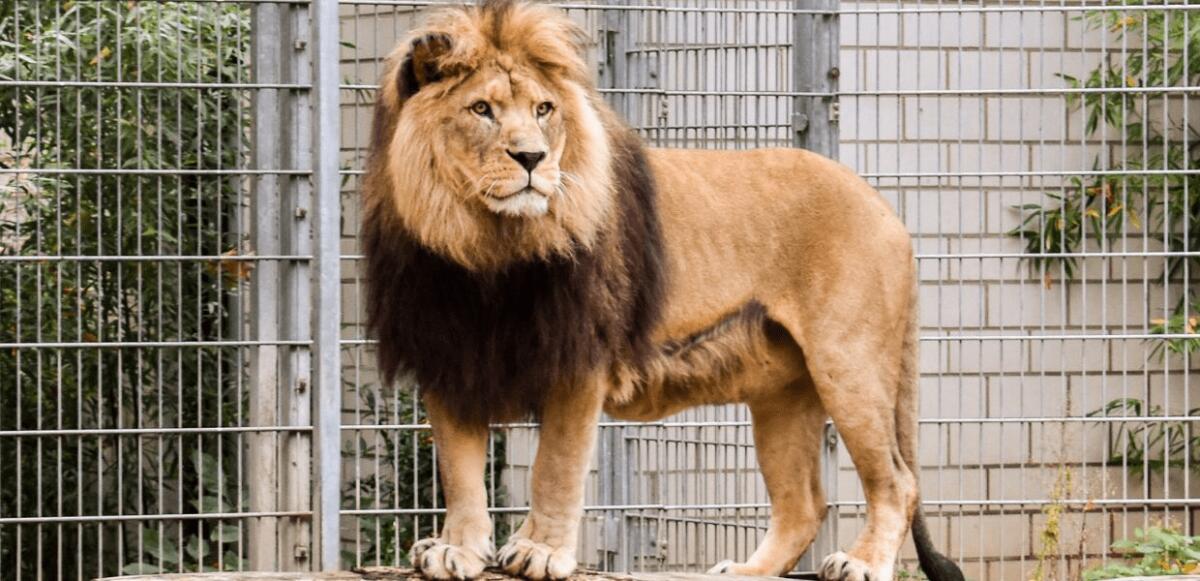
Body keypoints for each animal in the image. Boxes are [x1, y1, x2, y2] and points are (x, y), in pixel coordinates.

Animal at [362, 2, 964, 581]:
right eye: (482, 110)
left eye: (543, 110)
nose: (532, 159)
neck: (486, 245)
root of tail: (885, 207)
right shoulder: (449, 357)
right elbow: (460, 473)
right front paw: (456, 551)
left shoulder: (578, 360)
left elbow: (555, 468)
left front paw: (539, 552)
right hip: (783, 393)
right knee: (804, 505)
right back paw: (745, 571)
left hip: (848, 364)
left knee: (897, 482)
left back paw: (862, 563)